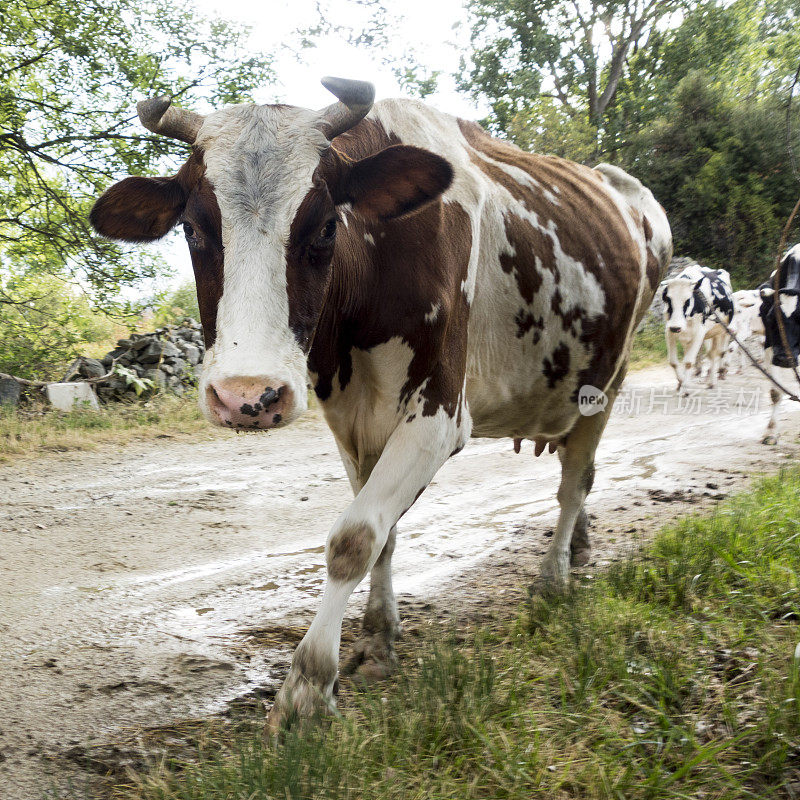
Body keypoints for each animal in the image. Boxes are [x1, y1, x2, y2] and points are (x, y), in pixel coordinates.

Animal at [90, 76, 672, 732]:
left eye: (324, 227)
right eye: (191, 229)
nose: (247, 396)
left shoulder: (439, 418)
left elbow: (353, 539)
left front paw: (307, 686)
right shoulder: (350, 417)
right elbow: (383, 534)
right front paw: (376, 639)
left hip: (608, 382)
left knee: (576, 480)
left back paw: (553, 578)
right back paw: (580, 547)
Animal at [660, 262, 736, 390]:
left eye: (687, 300)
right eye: (668, 299)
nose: (676, 327)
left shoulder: (699, 333)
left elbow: (689, 361)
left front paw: (685, 387)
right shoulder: (669, 330)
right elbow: (673, 361)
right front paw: (681, 381)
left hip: (721, 330)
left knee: (718, 352)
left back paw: (715, 377)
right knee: (710, 353)